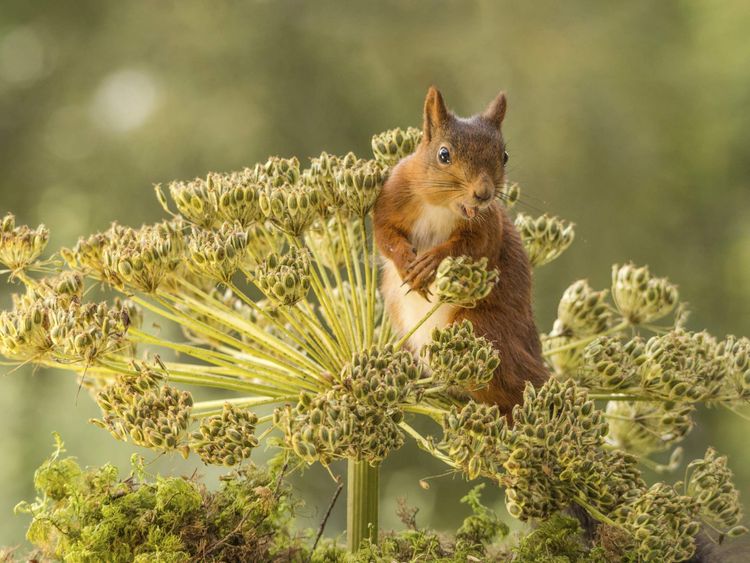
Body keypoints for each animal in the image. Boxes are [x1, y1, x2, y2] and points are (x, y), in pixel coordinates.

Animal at [376, 86, 552, 416]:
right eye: (444, 154)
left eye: (504, 156)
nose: (483, 193)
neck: (441, 206)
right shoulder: (392, 195)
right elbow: (384, 234)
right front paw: (407, 262)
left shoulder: (489, 227)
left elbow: (472, 247)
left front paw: (430, 262)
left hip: (480, 329)